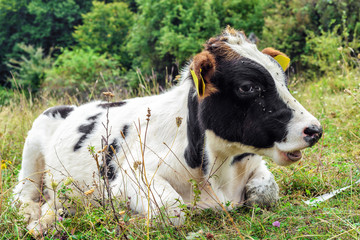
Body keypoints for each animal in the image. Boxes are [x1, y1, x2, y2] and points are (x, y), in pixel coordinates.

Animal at [14, 26, 324, 234]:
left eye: (283, 79)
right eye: (248, 87)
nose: (314, 130)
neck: (218, 174)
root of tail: (72, 107)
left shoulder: (254, 166)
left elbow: (266, 191)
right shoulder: (128, 177)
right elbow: (172, 210)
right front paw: (131, 219)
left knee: (52, 202)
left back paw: (50, 217)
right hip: (32, 148)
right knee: (22, 195)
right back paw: (36, 220)